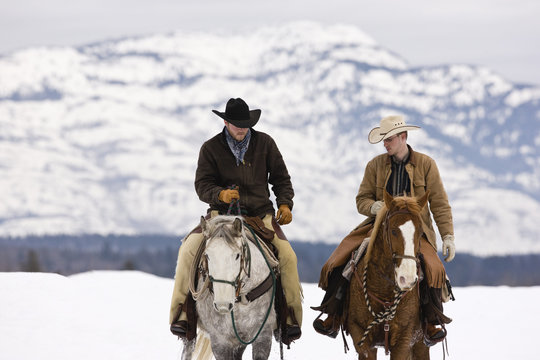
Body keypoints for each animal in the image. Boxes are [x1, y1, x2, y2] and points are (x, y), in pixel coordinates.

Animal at [348, 191, 432, 360]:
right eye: (393, 231)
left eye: (421, 232)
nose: (407, 279)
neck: (384, 291)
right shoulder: (361, 338)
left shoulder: (404, 340)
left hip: (421, 343)